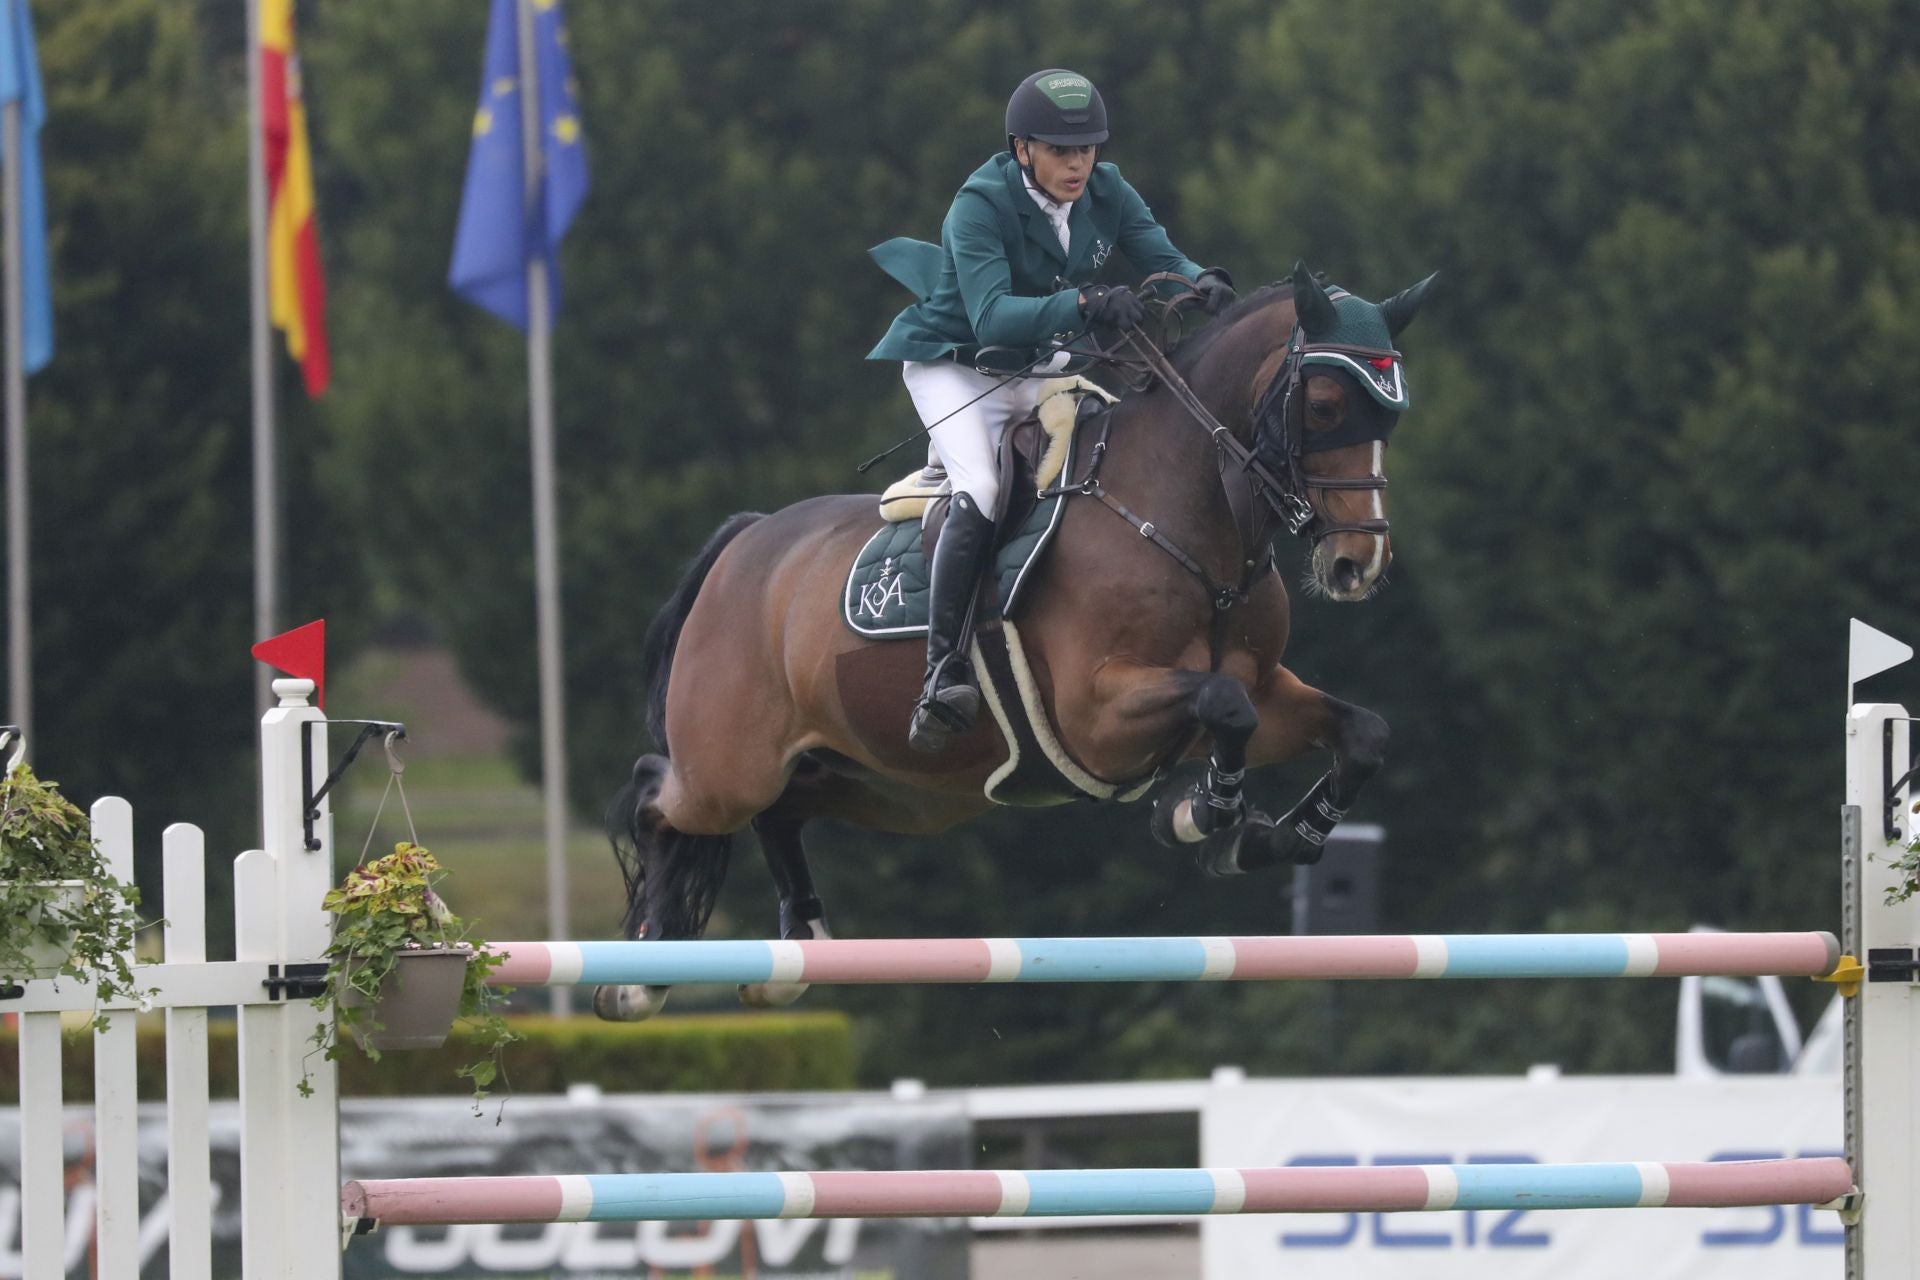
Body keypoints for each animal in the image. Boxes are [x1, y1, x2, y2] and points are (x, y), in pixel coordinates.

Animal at [591, 262, 1436, 1020]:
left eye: (1390, 419)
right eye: (1323, 405)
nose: (1358, 564)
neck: (1188, 521)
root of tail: (746, 540)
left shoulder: (1261, 689)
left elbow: (1360, 733)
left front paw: (1260, 840)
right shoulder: (1097, 716)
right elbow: (1226, 705)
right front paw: (1203, 815)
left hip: (895, 788)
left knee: (783, 811)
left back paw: (797, 945)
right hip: (730, 767)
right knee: (658, 796)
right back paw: (640, 973)